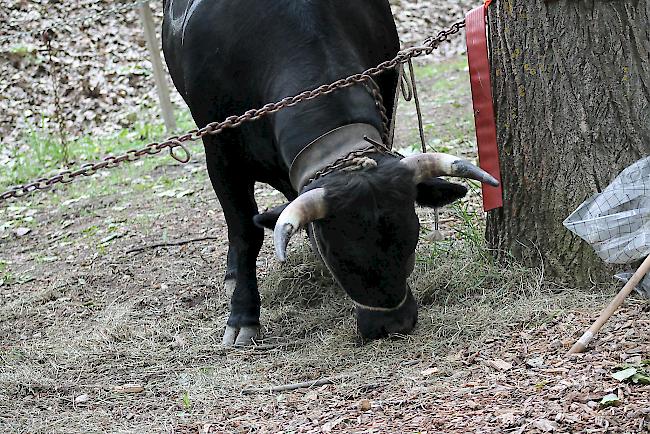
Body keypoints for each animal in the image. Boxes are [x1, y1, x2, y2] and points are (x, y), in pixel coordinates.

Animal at [162, 0, 496, 346]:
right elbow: (245, 233)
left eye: (412, 237)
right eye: (339, 254)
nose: (394, 324)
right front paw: (243, 317)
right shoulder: (221, 157)